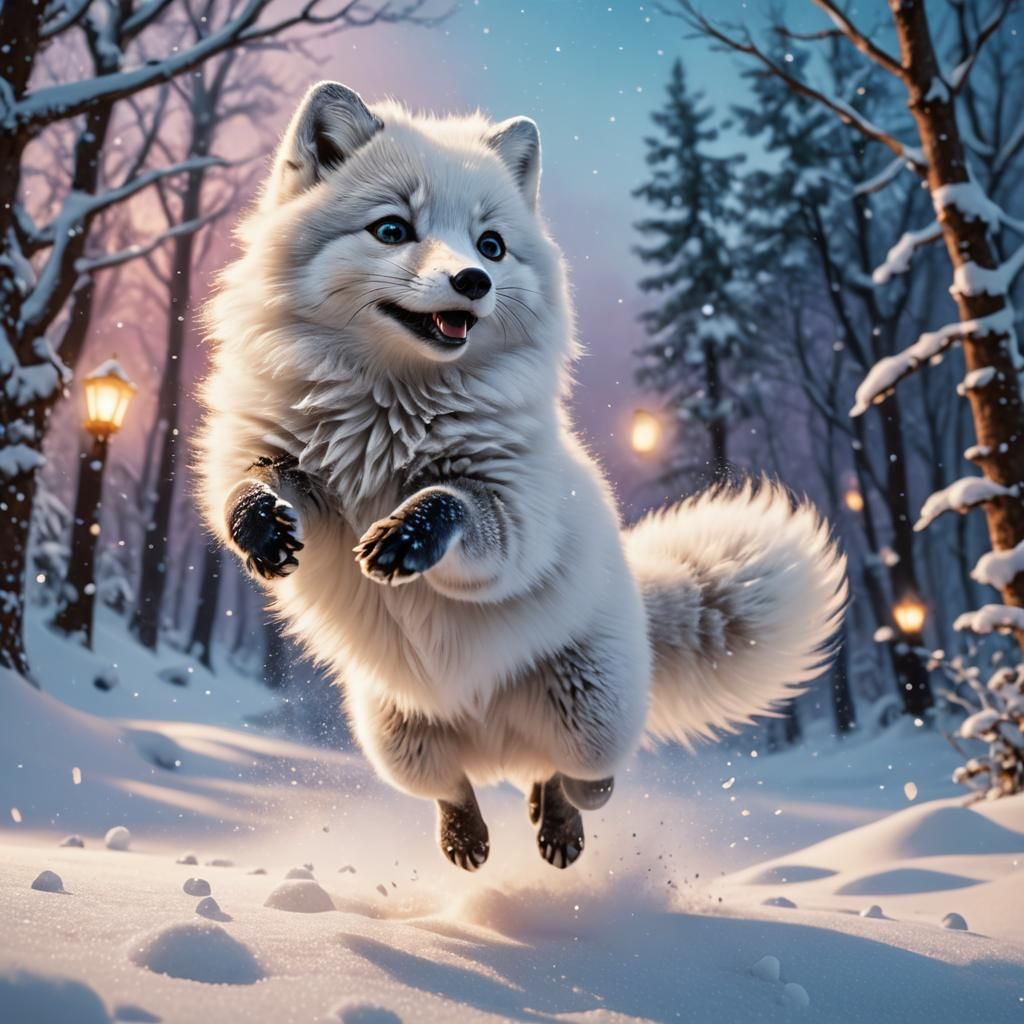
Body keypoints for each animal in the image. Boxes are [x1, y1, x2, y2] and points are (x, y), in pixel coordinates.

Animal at [196, 82, 847, 872]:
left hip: (590, 722)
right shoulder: (289, 472)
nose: (473, 281)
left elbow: (452, 504)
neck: (390, 420)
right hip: (396, 741)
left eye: (491, 245)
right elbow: (243, 489)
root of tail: (495, 741)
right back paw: (470, 835)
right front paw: (261, 530)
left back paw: (554, 823)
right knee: (456, 788)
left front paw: (404, 540)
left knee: (584, 781)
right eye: (393, 229)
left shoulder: (514, 520)